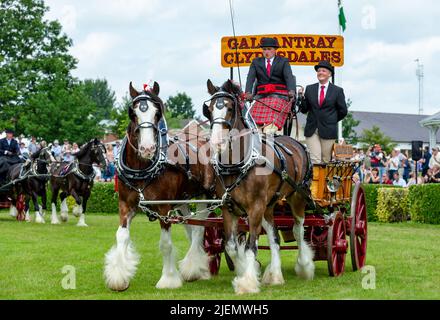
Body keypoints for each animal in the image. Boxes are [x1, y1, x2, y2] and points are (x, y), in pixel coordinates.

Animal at [103, 81, 213, 292]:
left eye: (157, 113)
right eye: (133, 113)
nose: (147, 148)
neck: (142, 169)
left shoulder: (163, 208)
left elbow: (166, 244)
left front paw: (168, 279)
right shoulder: (126, 205)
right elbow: (121, 236)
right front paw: (119, 277)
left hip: (206, 195)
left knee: (200, 227)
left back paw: (194, 267)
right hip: (182, 200)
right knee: (190, 226)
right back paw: (198, 267)